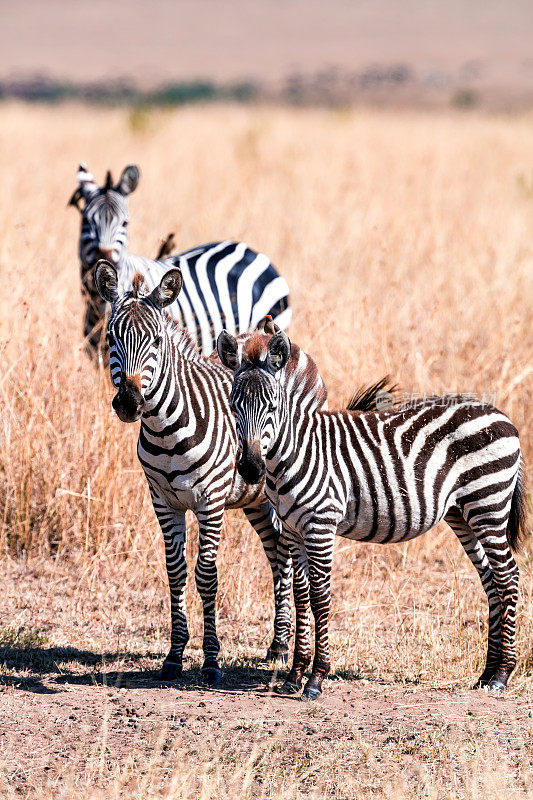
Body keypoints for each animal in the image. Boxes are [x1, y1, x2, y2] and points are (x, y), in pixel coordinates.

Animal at [218, 328, 524, 696]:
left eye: (272, 406)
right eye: (233, 405)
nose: (250, 468)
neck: (294, 453)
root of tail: (500, 415)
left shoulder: (321, 525)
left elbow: (320, 597)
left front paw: (316, 677)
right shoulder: (293, 530)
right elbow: (301, 596)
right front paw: (294, 675)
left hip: (488, 504)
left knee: (508, 578)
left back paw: (502, 675)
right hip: (463, 514)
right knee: (491, 580)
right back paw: (486, 674)